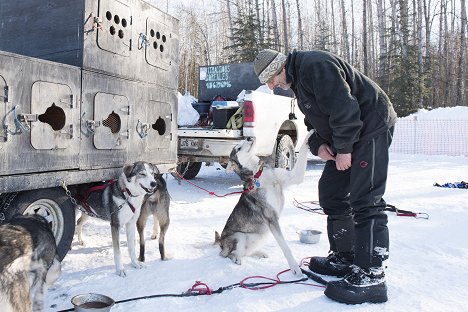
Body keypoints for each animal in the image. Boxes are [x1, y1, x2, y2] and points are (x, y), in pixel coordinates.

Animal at [215, 130, 310, 276]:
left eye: (243, 141)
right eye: (238, 148)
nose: (249, 137)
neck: (258, 174)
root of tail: (220, 241)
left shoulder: (294, 176)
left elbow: (303, 150)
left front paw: (311, 133)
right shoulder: (272, 218)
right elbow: (285, 247)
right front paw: (295, 267)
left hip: (260, 236)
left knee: (246, 252)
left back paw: (258, 253)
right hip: (239, 237)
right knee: (227, 254)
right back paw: (236, 258)